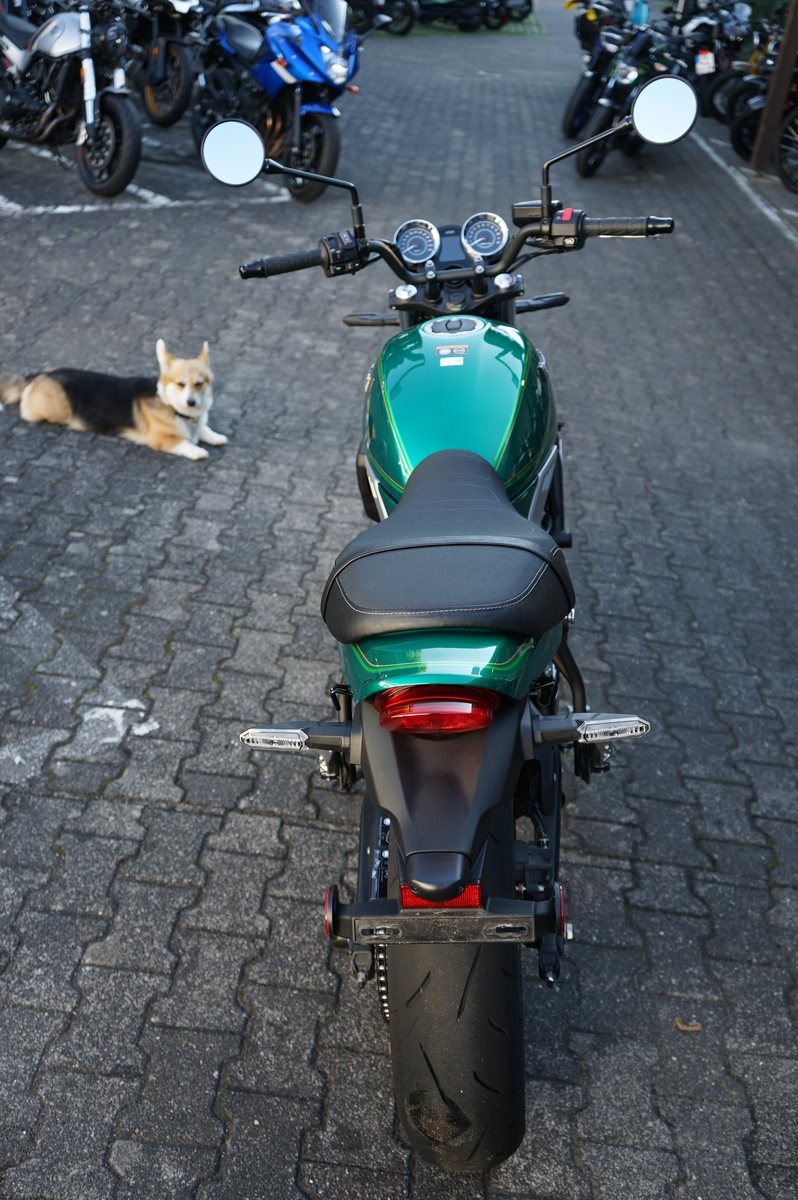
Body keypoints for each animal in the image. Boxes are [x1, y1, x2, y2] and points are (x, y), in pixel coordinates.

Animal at [0, 339, 226, 460]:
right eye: (180, 384)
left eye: (199, 384)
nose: (191, 402)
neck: (173, 407)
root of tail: (38, 375)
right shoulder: (160, 439)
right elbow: (183, 442)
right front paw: (198, 451)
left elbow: (206, 430)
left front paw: (215, 436)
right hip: (53, 411)